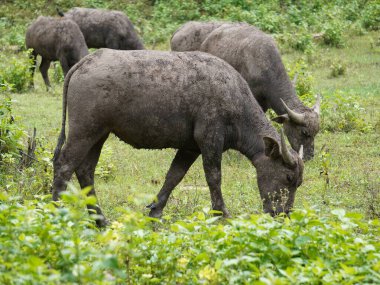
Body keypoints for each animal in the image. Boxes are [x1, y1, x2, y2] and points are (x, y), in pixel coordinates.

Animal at [52, 48, 302, 226]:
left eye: (298, 183)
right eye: (289, 178)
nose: (283, 215)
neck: (235, 100)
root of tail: (85, 62)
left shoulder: (191, 148)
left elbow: (174, 176)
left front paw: (155, 212)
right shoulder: (210, 140)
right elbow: (214, 177)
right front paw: (222, 213)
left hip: (99, 134)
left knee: (85, 170)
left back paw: (100, 219)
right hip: (84, 131)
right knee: (64, 165)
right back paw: (55, 212)